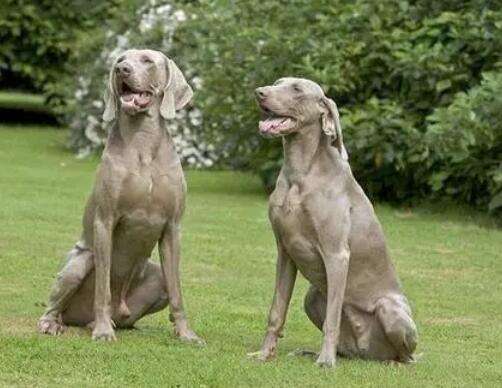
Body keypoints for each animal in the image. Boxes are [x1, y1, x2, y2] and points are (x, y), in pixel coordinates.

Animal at [37, 49, 203, 342]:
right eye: (120, 59)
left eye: (147, 60)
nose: (121, 70)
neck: (143, 145)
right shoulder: (105, 221)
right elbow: (103, 287)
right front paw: (103, 332)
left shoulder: (173, 227)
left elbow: (177, 292)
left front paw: (186, 334)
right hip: (78, 263)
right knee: (56, 304)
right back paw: (59, 323)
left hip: (155, 276)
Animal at [249, 78, 418, 366]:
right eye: (277, 83)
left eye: (296, 89)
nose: (260, 92)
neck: (300, 174)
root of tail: (366, 352)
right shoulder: (285, 251)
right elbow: (276, 311)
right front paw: (263, 354)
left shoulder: (337, 254)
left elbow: (332, 318)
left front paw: (326, 362)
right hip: (312, 296)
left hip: (390, 309)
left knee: (408, 356)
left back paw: (390, 362)